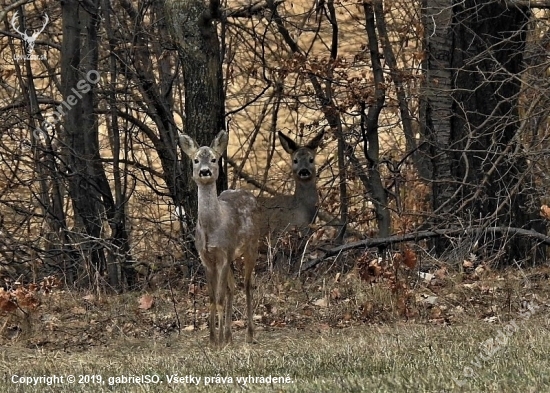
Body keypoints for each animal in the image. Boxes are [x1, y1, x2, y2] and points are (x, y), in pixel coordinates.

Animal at [180, 130, 260, 348]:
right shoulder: (207, 258)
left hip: (252, 245)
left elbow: (220, 297)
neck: (212, 228)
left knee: (247, 285)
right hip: (233, 255)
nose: (205, 171)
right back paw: (229, 336)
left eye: (214, 159)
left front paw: (219, 342)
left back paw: (249, 335)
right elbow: (212, 298)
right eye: (196, 160)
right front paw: (213, 341)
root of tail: (250, 194)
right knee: (233, 287)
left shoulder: (224, 253)